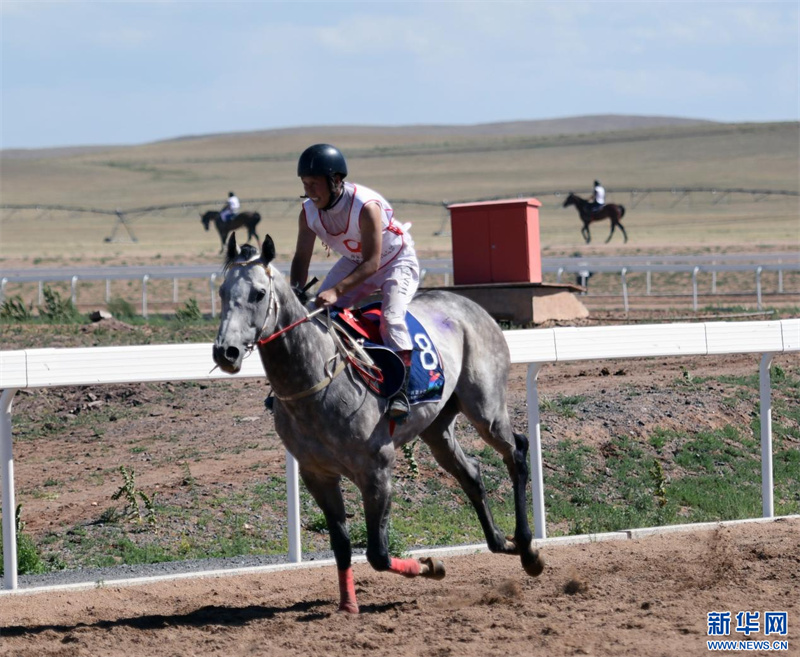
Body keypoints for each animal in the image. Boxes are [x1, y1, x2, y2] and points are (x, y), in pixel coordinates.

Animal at [212, 233, 544, 612]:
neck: (315, 382)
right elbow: (341, 544)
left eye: (258, 293)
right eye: (222, 291)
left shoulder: (377, 469)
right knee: (471, 473)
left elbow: (378, 554)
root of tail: (468, 304)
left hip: (485, 409)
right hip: (437, 428)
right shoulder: (317, 474)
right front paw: (348, 605)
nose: (226, 352)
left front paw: (432, 565)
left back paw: (527, 547)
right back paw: (501, 542)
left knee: (516, 451)